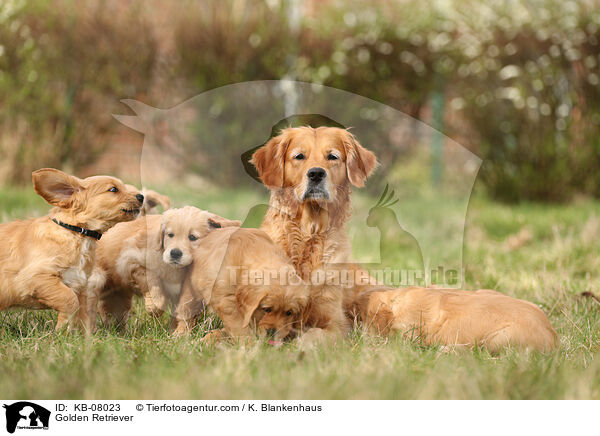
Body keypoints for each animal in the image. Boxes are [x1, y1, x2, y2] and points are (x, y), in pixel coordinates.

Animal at [0, 169, 142, 332]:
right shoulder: (33, 277)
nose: (141, 197)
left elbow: (84, 314)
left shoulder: (81, 285)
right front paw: (62, 329)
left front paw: (84, 335)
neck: (76, 233)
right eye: (113, 189)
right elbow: (69, 299)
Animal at [91, 205, 239, 330]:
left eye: (192, 237)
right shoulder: (130, 261)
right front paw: (154, 308)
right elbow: (153, 281)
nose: (175, 253)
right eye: (170, 235)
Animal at [251, 126, 378, 338]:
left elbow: (314, 334)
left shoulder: (336, 323)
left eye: (332, 156)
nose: (316, 174)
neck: (308, 232)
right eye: (299, 156)